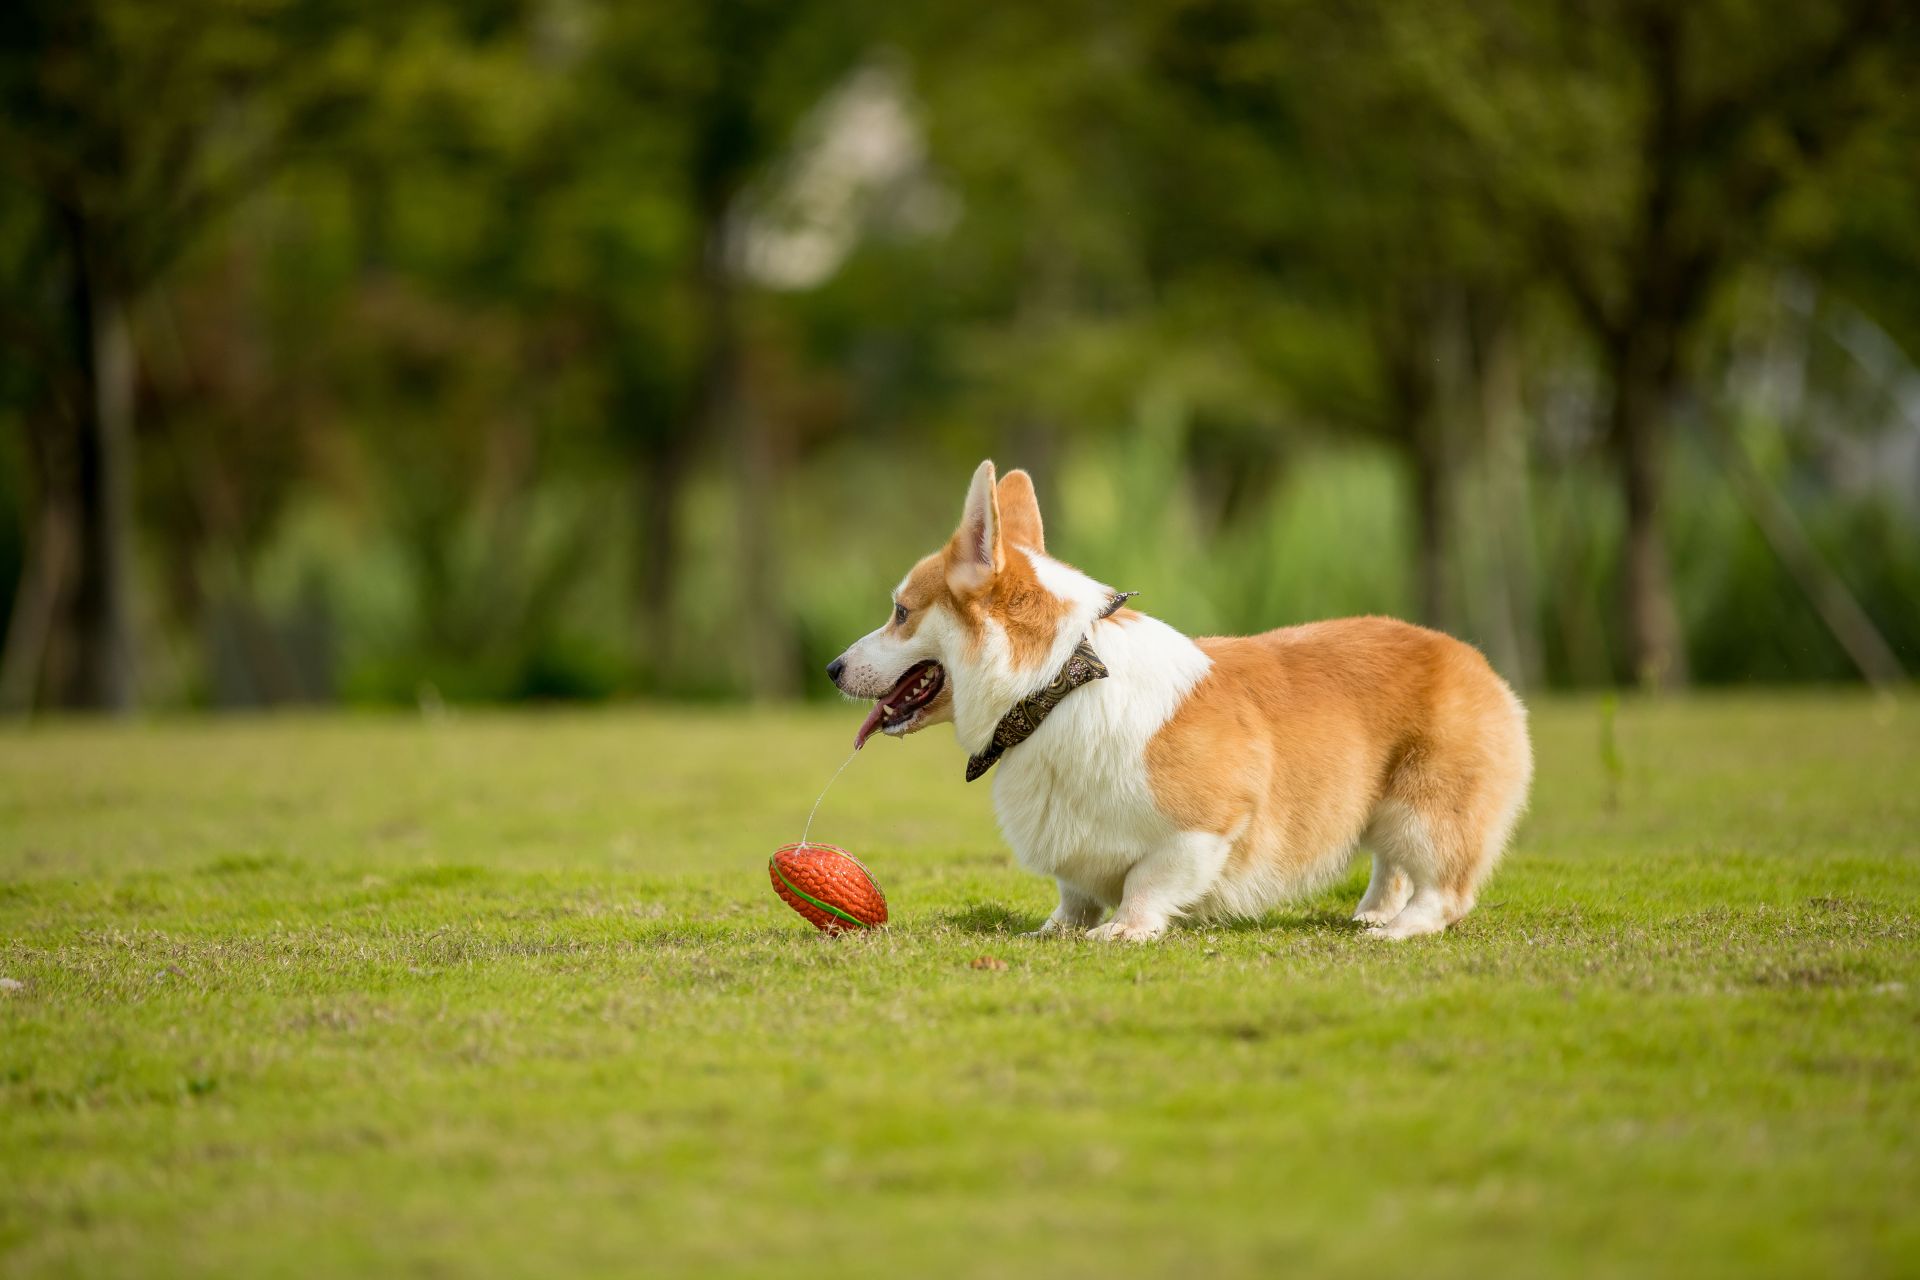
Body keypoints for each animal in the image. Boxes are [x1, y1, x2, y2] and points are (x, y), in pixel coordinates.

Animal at [825, 460, 1528, 940]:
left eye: (900, 612)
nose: (832, 668)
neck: (1057, 684)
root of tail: (1476, 662)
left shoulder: (1208, 824)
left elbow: (1148, 879)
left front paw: (1123, 930)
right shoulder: (1073, 854)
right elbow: (1074, 892)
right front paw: (1056, 929)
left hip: (1425, 811)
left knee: (1444, 888)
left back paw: (1398, 929)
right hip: (1385, 813)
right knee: (1389, 866)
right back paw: (1372, 914)